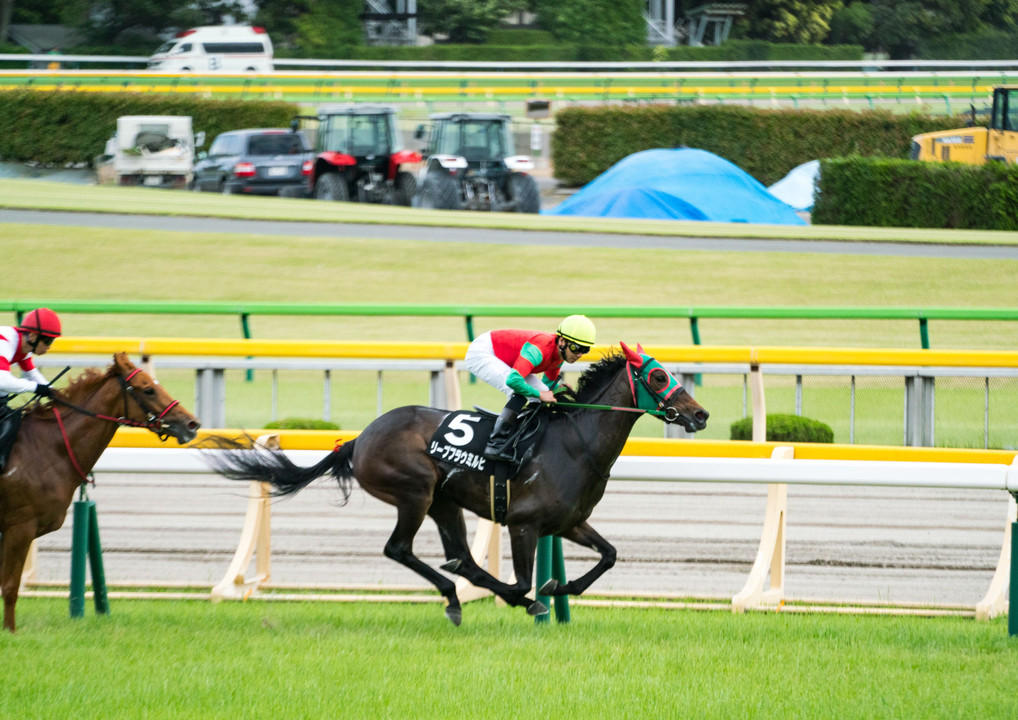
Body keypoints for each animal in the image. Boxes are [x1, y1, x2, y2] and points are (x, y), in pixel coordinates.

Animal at [0, 354, 200, 631]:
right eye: (148, 388)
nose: (192, 424)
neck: (46, 447)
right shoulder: (19, 527)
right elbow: (9, 586)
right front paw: (10, 631)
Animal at [204, 344, 708, 623]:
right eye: (658, 375)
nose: (701, 414)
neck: (575, 443)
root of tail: (360, 438)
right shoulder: (523, 524)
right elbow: (523, 578)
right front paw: (536, 596)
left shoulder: (568, 522)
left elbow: (608, 555)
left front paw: (558, 589)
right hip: (415, 491)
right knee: (402, 549)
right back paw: (467, 597)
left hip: (444, 501)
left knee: (461, 558)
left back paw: (462, 596)